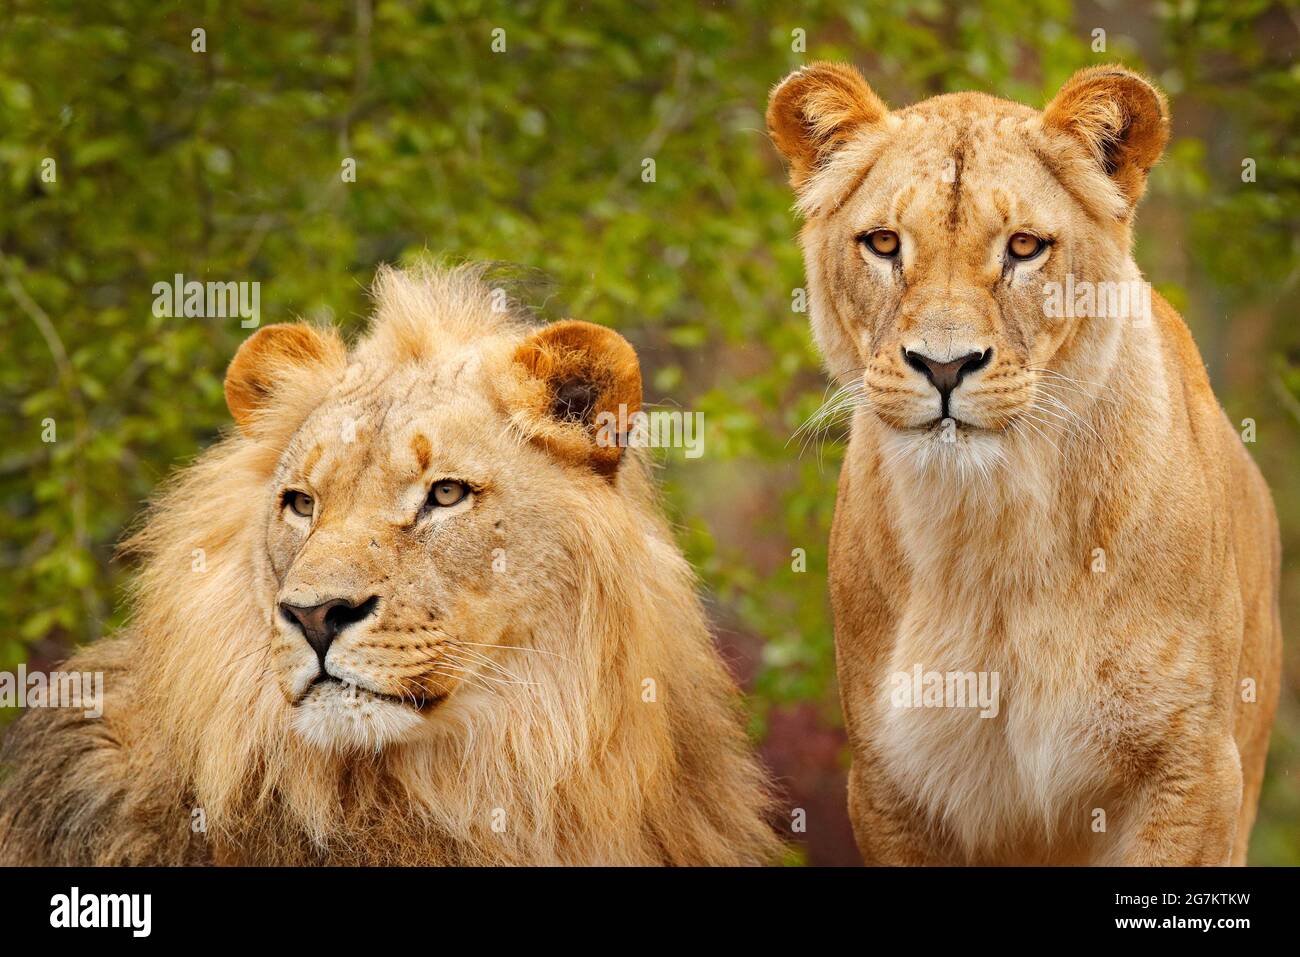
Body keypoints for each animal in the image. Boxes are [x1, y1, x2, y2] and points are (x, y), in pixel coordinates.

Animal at [767, 63, 1281, 865]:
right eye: (883, 243)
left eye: (1024, 246)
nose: (945, 366)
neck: (994, 532)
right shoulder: (891, 781)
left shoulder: (1192, 769)